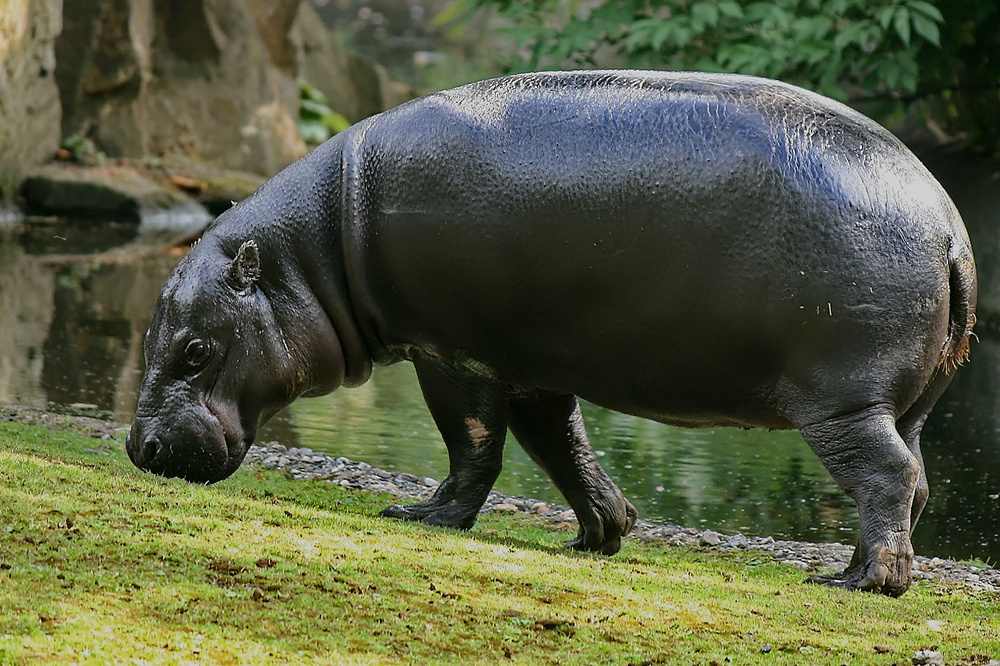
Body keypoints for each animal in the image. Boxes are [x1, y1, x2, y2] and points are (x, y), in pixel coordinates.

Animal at [127, 70, 976, 592]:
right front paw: (602, 534)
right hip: (905, 405)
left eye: (196, 351)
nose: (141, 448)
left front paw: (421, 517)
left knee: (887, 475)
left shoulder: (452, 352)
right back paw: (864, 571)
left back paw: (857, 581)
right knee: (917, 480)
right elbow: (562, 448)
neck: (315, 252)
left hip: (840, 400)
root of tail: (949, 229)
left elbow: (473, 445)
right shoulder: (531, 366)